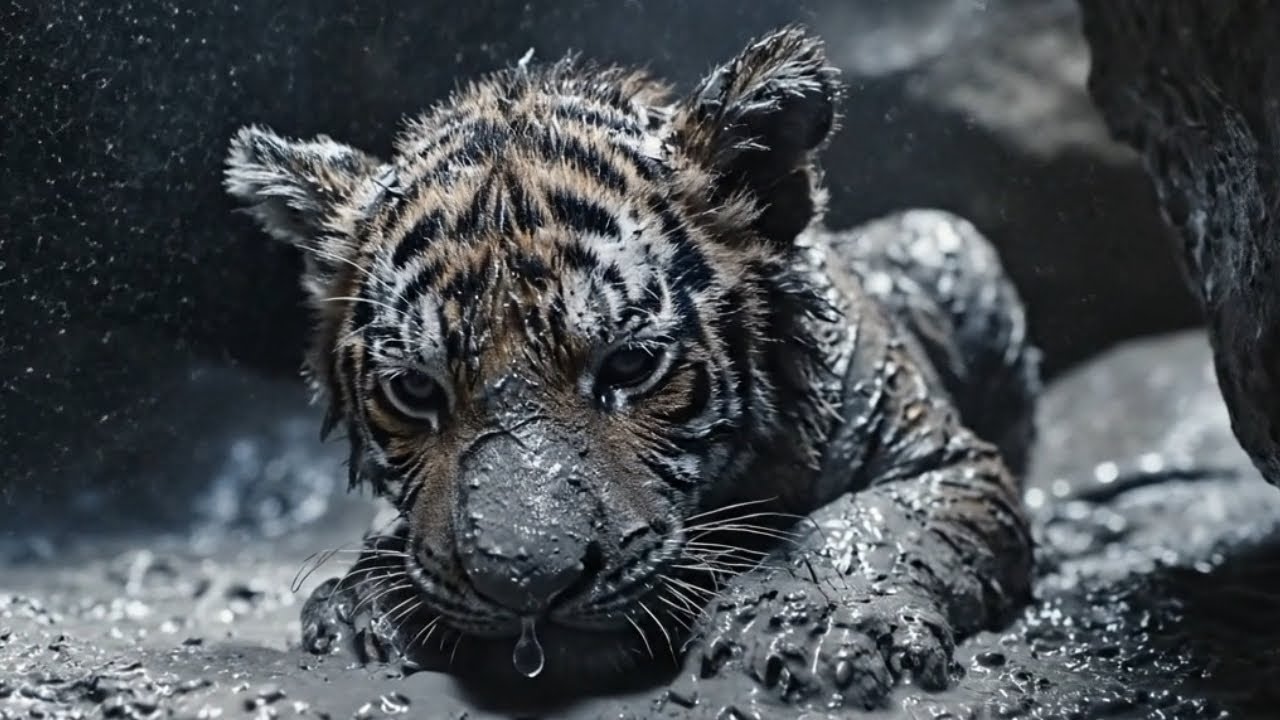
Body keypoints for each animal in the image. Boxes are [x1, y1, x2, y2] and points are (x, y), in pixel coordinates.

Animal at [223, 26, 1039, 712]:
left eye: (631, 365)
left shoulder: (949, 462)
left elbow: (868, 524)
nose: (527, 588)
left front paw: (798, 631)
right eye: (416, 389)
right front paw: (362, 608)